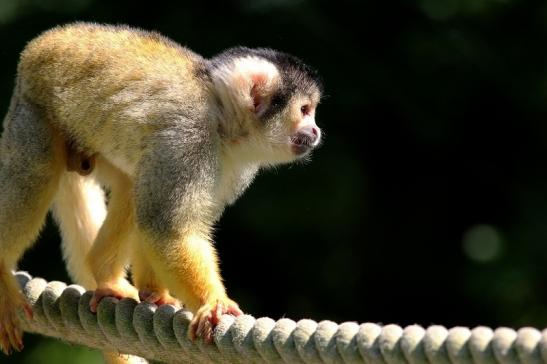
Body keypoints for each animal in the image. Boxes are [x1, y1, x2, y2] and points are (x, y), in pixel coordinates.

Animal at [0, 21, 322, 354]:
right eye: (304, 110)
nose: (315, 130)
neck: (222, 121)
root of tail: (38, 45)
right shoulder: (186, 139)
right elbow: (168, 228)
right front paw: (212, 302)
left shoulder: (234, 165)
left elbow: (163, 222)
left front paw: (154, 292)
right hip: (33, 112)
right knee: (36, 175)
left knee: (134, 183)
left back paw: (105, 274)